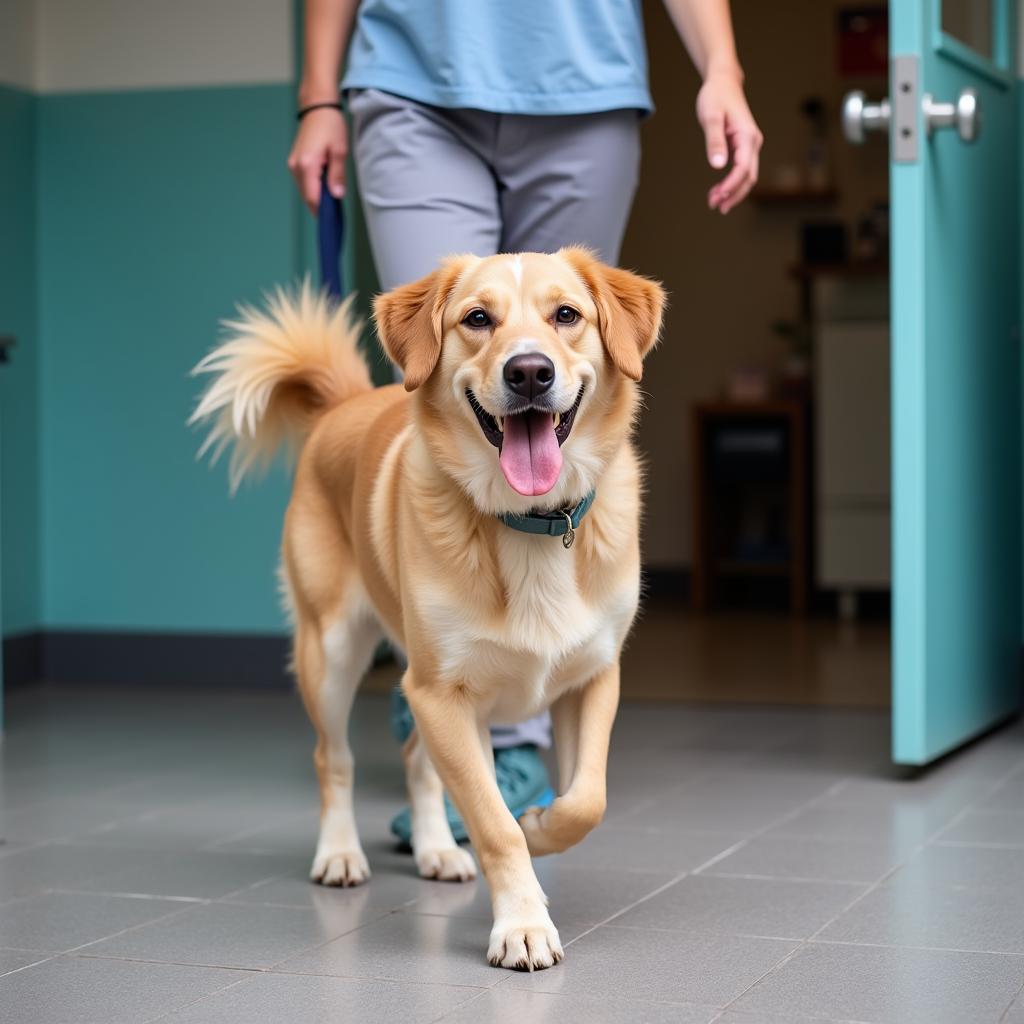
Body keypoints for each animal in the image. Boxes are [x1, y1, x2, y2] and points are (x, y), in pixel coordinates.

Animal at [191, 247, 663, 966]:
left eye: (566, 315)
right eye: (477, 319)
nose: (530, 371)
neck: (528, 524)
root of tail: (348, 402)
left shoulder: (590, 678)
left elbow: (587, 800)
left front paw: (542, 827)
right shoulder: (440, 692)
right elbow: (494, 824)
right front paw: (521, 922)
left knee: (419, 762)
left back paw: (437, 848)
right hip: (332, 653)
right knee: (335, 761)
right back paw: (339, 854)